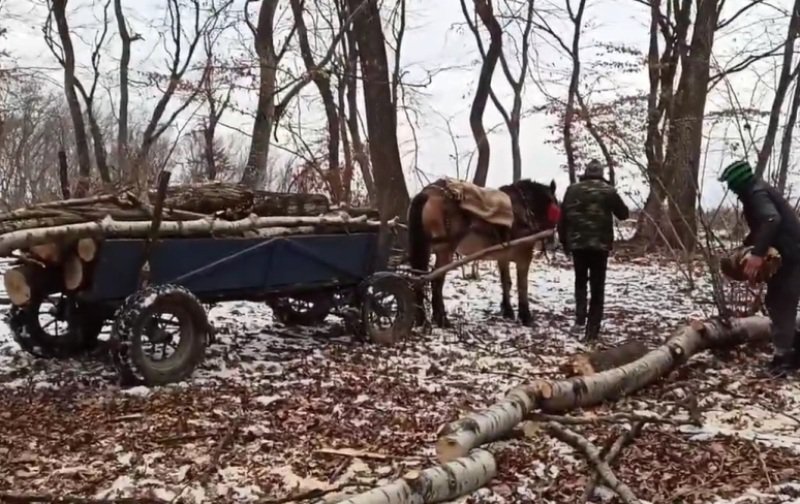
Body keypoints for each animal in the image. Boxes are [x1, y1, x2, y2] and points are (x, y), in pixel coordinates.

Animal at [410, 177, 560, 326]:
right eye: (556, 209)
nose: (553, 243)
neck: (525, 207)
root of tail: (428, 193)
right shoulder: (524, 254)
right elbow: (522, 285)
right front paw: (526, 316)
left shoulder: (503, 256)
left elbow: (506, 282)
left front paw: (507, 311)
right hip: (445, 249)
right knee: (436, 280)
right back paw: (441, 319)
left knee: (419, 277)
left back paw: (422, 319)